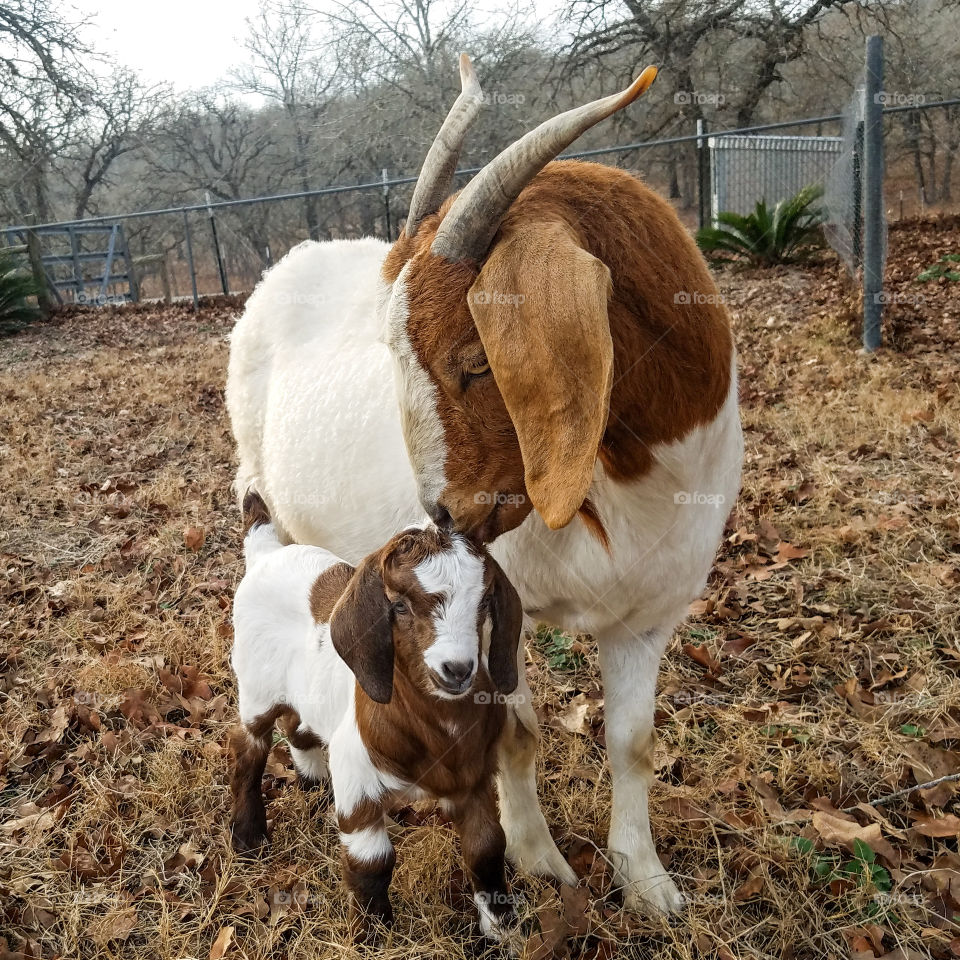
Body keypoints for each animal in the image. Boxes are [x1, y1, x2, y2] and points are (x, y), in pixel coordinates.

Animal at [230, 496, 520, 936]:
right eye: (398, 605)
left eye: (485, 602)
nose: (456, 669)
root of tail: (266, 551)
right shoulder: (357, 777)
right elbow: (372, 863)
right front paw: (373, 933)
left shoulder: (473, 778)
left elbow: (487, 848)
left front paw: (503, 929)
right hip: (255, 685)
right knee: (250, 747)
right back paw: (248, 838)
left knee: (297, 725)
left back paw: (313, 783)